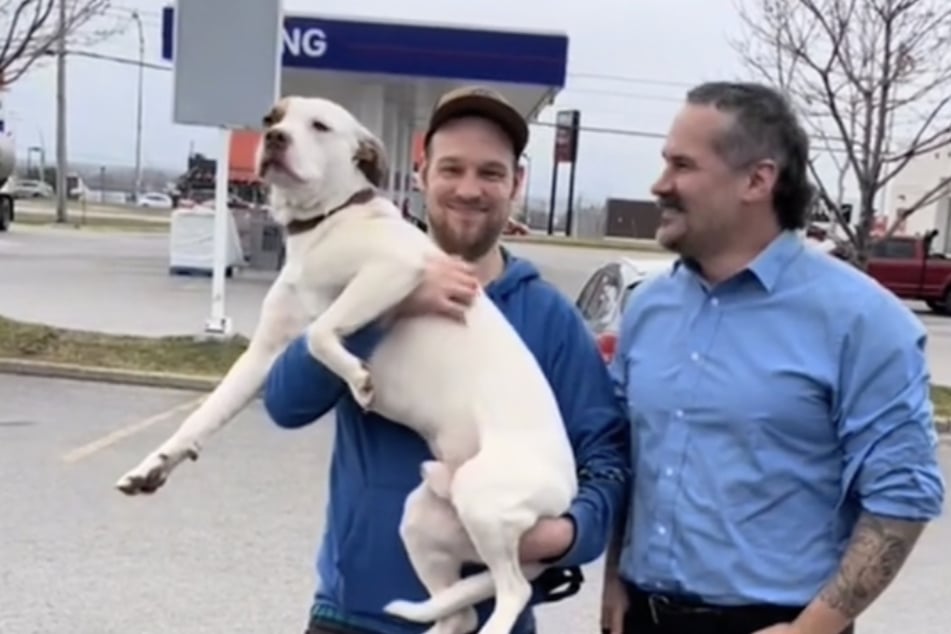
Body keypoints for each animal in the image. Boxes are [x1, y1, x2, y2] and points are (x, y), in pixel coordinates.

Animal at [119, 94, 580, 632]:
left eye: (319, 126)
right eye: (272, 118)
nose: (274, 139)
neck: (325, 222)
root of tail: (561, 497)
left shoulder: (393, 271)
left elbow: (322, 332)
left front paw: (359, 378)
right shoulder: (265, 353)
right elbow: (203, 416)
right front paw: (152, 467)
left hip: (483, 500)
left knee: (512, 591)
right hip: (423, 517)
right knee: (460, 613)